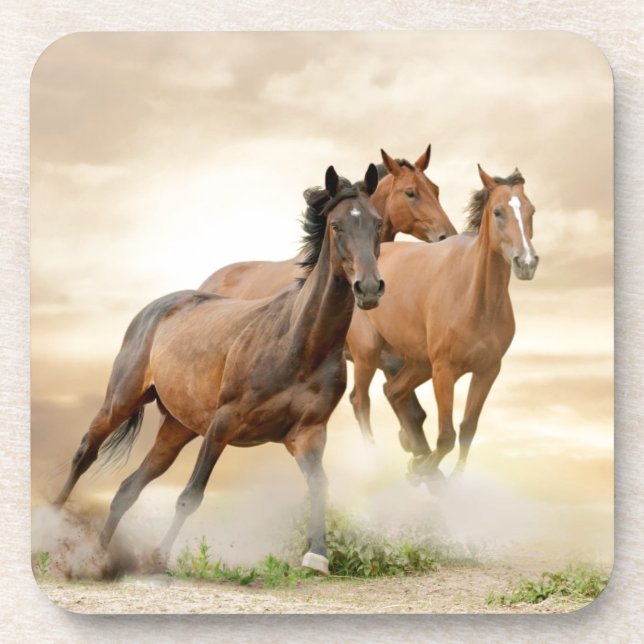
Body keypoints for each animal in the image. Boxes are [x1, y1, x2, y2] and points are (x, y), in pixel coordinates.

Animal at [53, 164, 385, 575]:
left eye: (377, 223)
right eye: (337, 225)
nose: (368, 288)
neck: (298, 344)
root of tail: (158, 307)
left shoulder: (308, 435)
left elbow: (320, 487)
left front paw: (317, 557)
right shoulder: (223, 424)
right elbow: (190, 496)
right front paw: (159, 558)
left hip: (177, 429)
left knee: (128, 489)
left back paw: (99, 558)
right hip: (122, 400)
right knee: (85, 452)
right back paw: (48, 530)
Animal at [347, 165, 538, 478]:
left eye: (531, 210)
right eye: (497, 211)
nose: (527, 263)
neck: (476, 300)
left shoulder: (487, 371)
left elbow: (468, 429)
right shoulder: (444, 371)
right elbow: (446, 435)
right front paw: (421, 470)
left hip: (417, 362)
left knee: (393, 393)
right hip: (367, 354)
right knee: (361, 400)